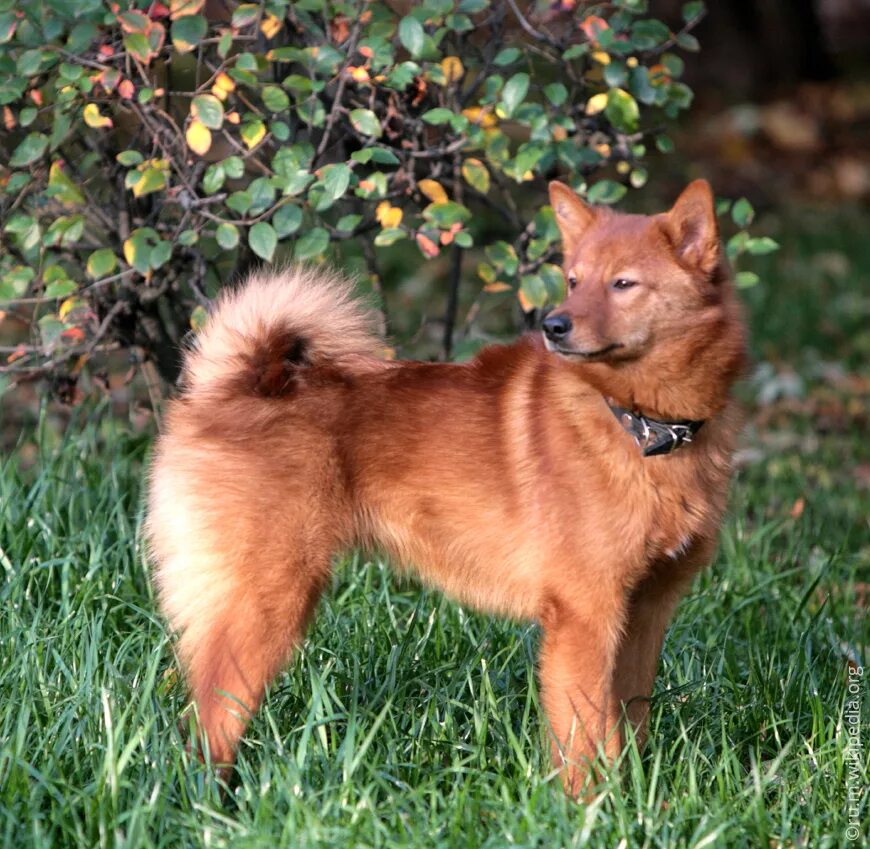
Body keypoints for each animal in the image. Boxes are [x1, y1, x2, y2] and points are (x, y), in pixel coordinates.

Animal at [146, 181, 744, 796]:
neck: (642, 426)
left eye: (623, 283)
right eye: (575, 280)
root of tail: (229, 388)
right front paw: (587, 807)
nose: (553, 325)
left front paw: (638, 799)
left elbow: (629, 726)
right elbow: (583, 738)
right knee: (209, 722)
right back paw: (210, 801)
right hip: (264, 606)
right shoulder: (584, 617)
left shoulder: (644, 612)